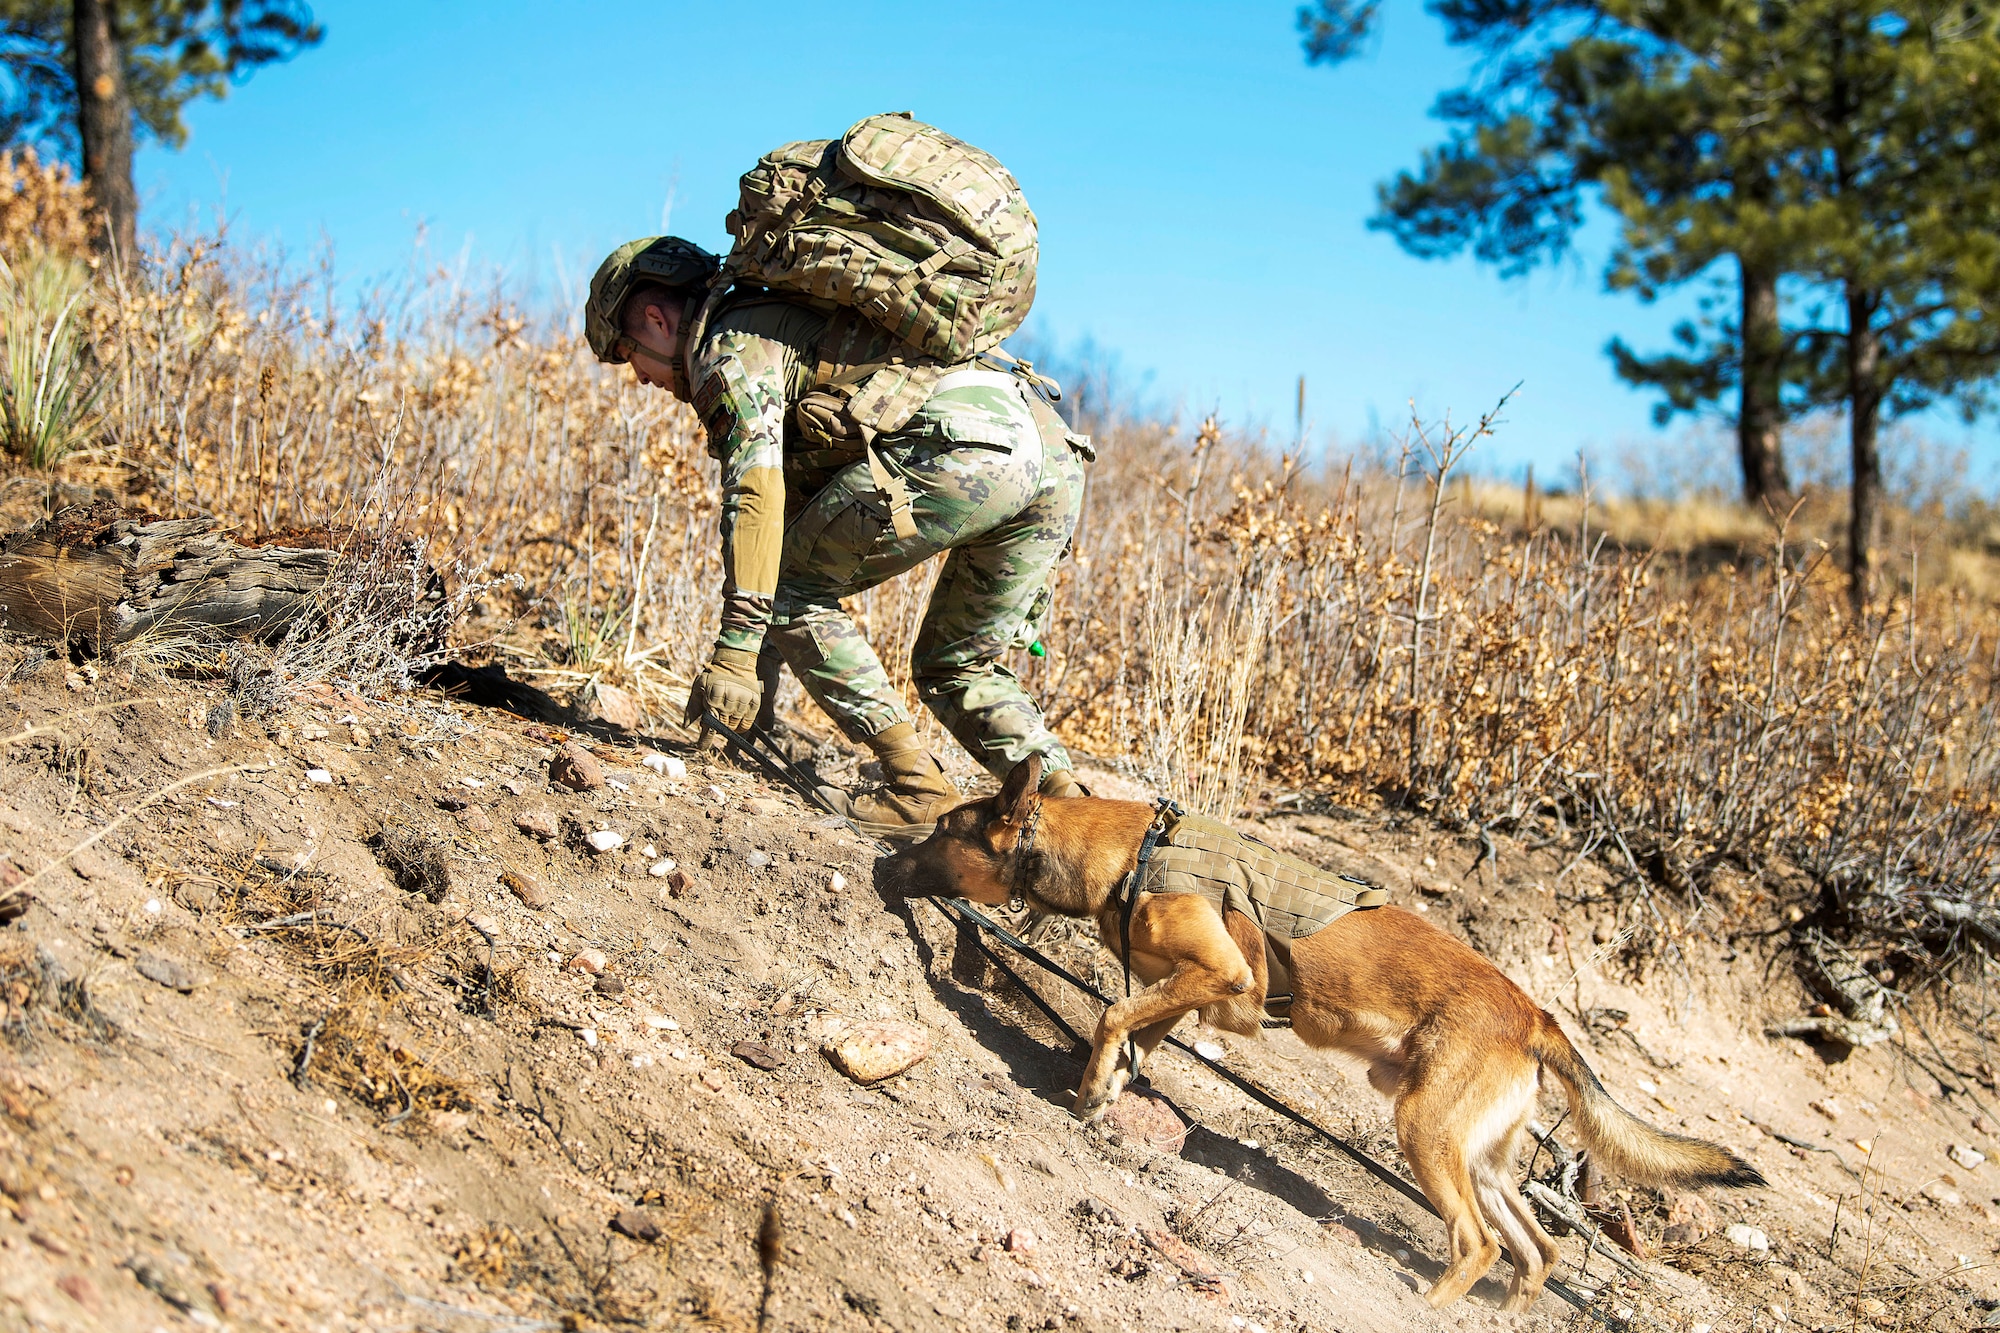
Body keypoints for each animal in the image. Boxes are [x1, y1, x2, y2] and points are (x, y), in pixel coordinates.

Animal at [880, 756, 1768, 1304]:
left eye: (940, 832)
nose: (887, 861)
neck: (1134, 851)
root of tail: (1535, 1014)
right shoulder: (1187, 988)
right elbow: (1137, 1028)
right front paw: (1102, 1089)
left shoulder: (1222, 974)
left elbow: (1115, 1009)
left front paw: (1094, 1084)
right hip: (1481, 1156)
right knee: (1537, 1251)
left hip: (1426, 1130)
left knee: (1479, 1244)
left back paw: (1429, 1306)